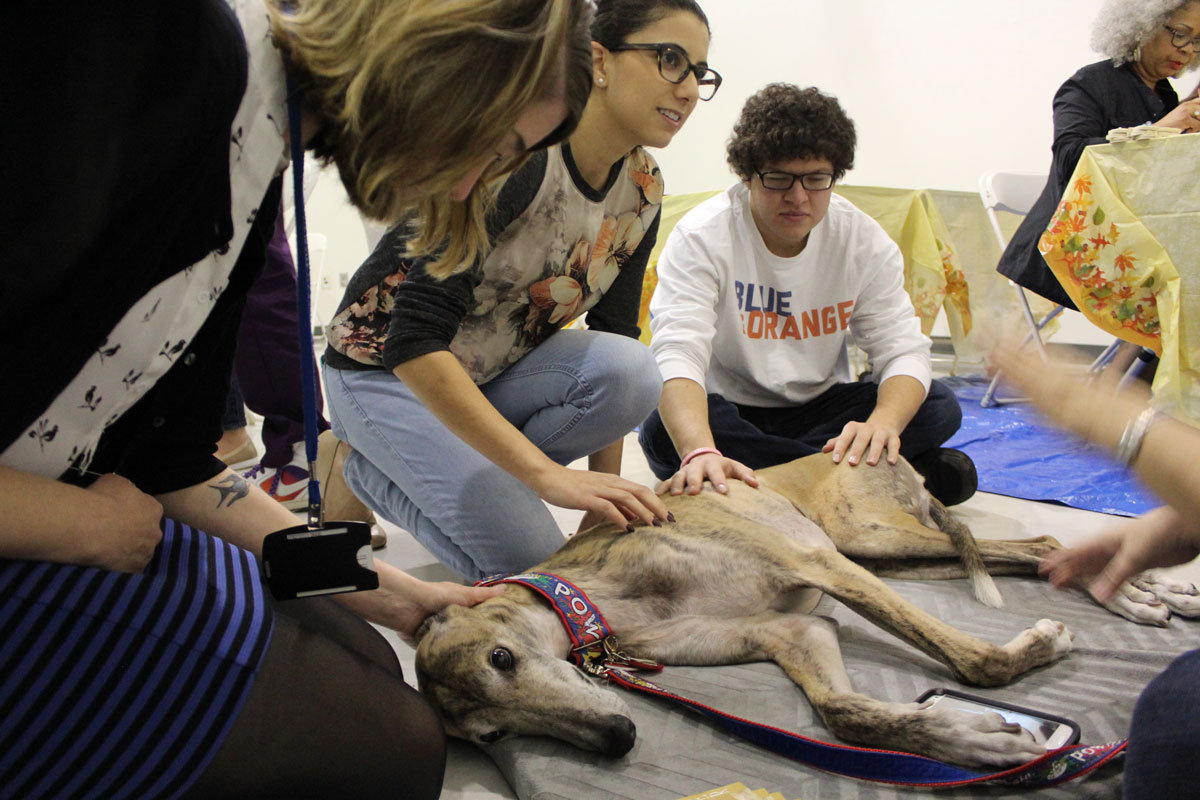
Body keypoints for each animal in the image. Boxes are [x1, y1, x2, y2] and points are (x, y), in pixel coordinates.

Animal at [415, 453, 1200, 767]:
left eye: (502, 657)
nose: (619, 737)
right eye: (490, 735)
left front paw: (1028, 659)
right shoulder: (796, 628)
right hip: (888, 554)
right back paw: (1148, 594)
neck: (603, 599)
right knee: (1033, 550)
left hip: (865, 540)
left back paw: (1140, 592)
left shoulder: (816, 568)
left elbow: (971, 660)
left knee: (1039, 541)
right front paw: (970, 740)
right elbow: (844, 713)